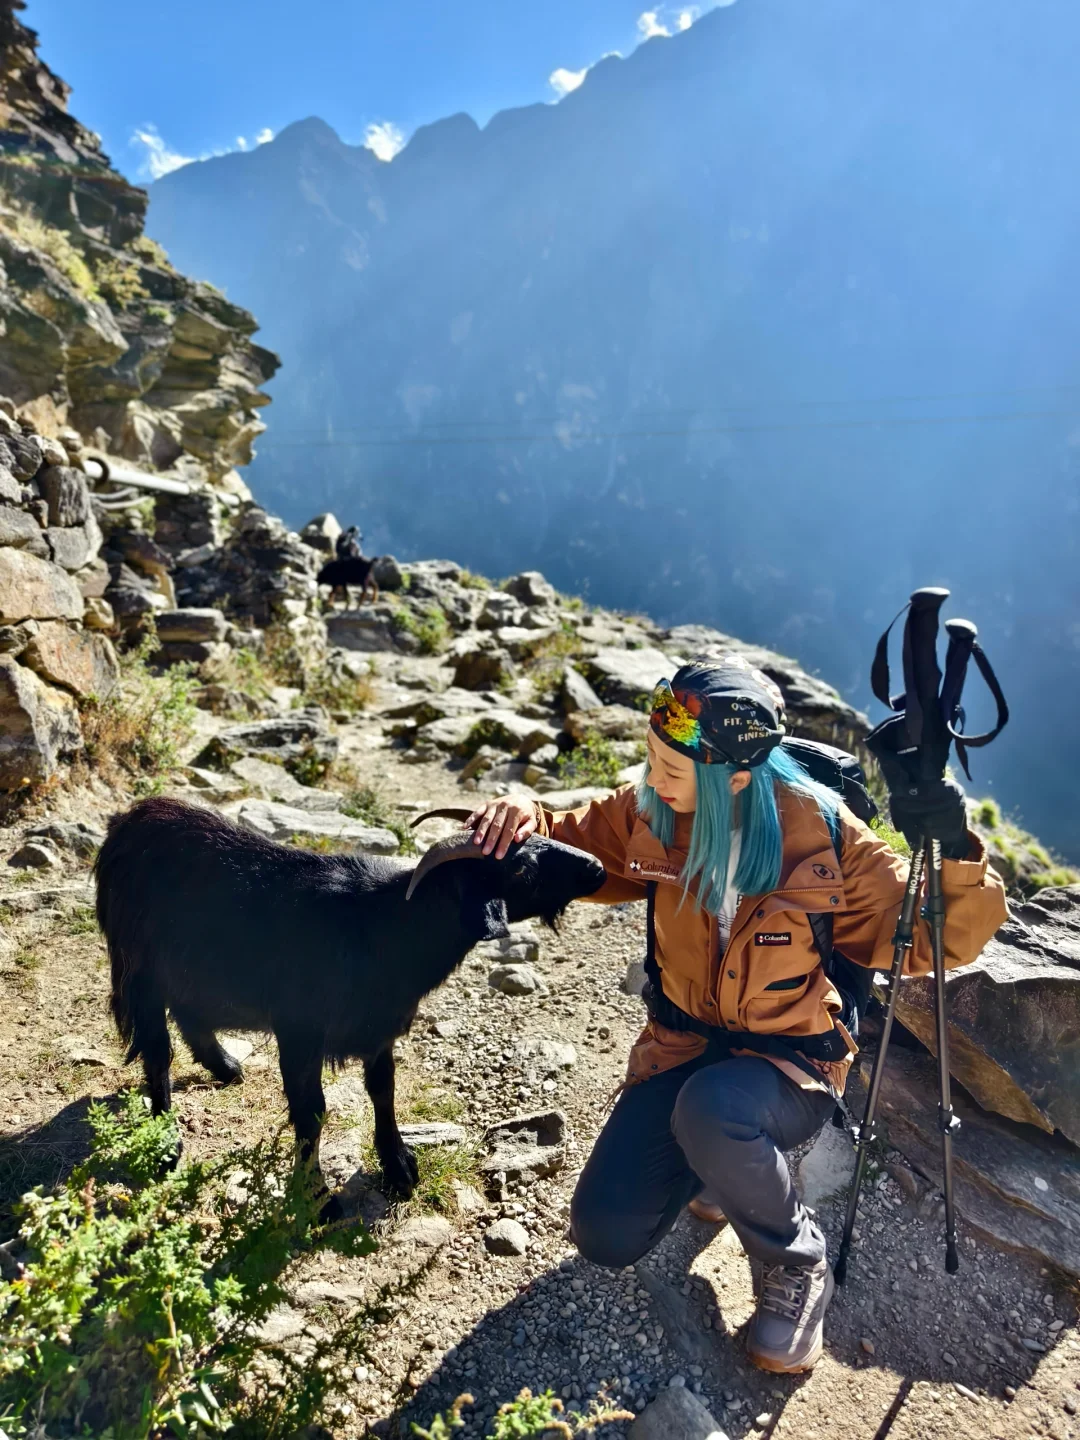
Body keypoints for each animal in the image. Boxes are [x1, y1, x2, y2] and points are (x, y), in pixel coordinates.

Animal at [96, 800, 604, 1215]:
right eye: (521, 870)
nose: (597, 868)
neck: (381, 927)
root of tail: (127, 821)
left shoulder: (378, 1031)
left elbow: (383, 1090)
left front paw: (399, 1166)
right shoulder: (299, 1031)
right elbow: (312, 1111)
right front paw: (318, 1198)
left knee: (188, 1014)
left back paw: (225, 1067)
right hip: (139, 964)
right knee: (157, 1050)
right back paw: (167, 1142)